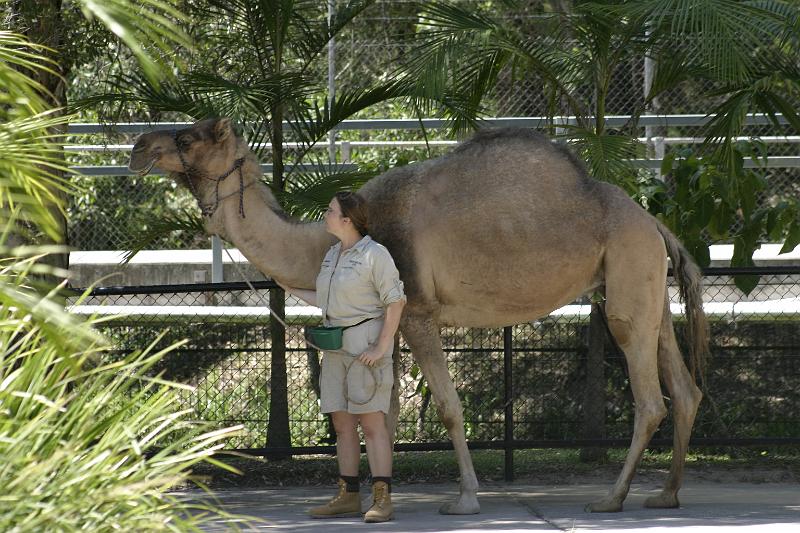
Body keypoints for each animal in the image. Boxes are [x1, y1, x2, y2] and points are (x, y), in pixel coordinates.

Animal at [130, 118, 708, 512]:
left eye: (189, 139)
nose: (138, 147)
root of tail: (653, 221)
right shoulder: (391, 329)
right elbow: (381, 413)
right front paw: (376, 498)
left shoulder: (418, 314)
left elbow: (446, 408)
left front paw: (465, 498)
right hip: (642, 285)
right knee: (685, 388)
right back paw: (667, 494)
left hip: (627, 280)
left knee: (650, 400)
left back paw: (613, 498)